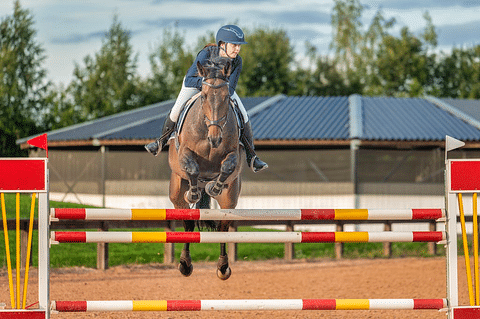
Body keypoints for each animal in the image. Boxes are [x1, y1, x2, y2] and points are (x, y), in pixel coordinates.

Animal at [168, 56, 244, 282]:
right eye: (203, 96)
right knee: (188, 224)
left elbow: (228, 165)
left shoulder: (234, 154)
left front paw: (214, 188)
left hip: (230, 199)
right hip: (176, 194)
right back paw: (185, 264)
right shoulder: (184, 153)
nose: (215, 139)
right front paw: (193, 194)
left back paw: (223, 267)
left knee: (223, 227)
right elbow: (192, 167)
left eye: (227, 97)